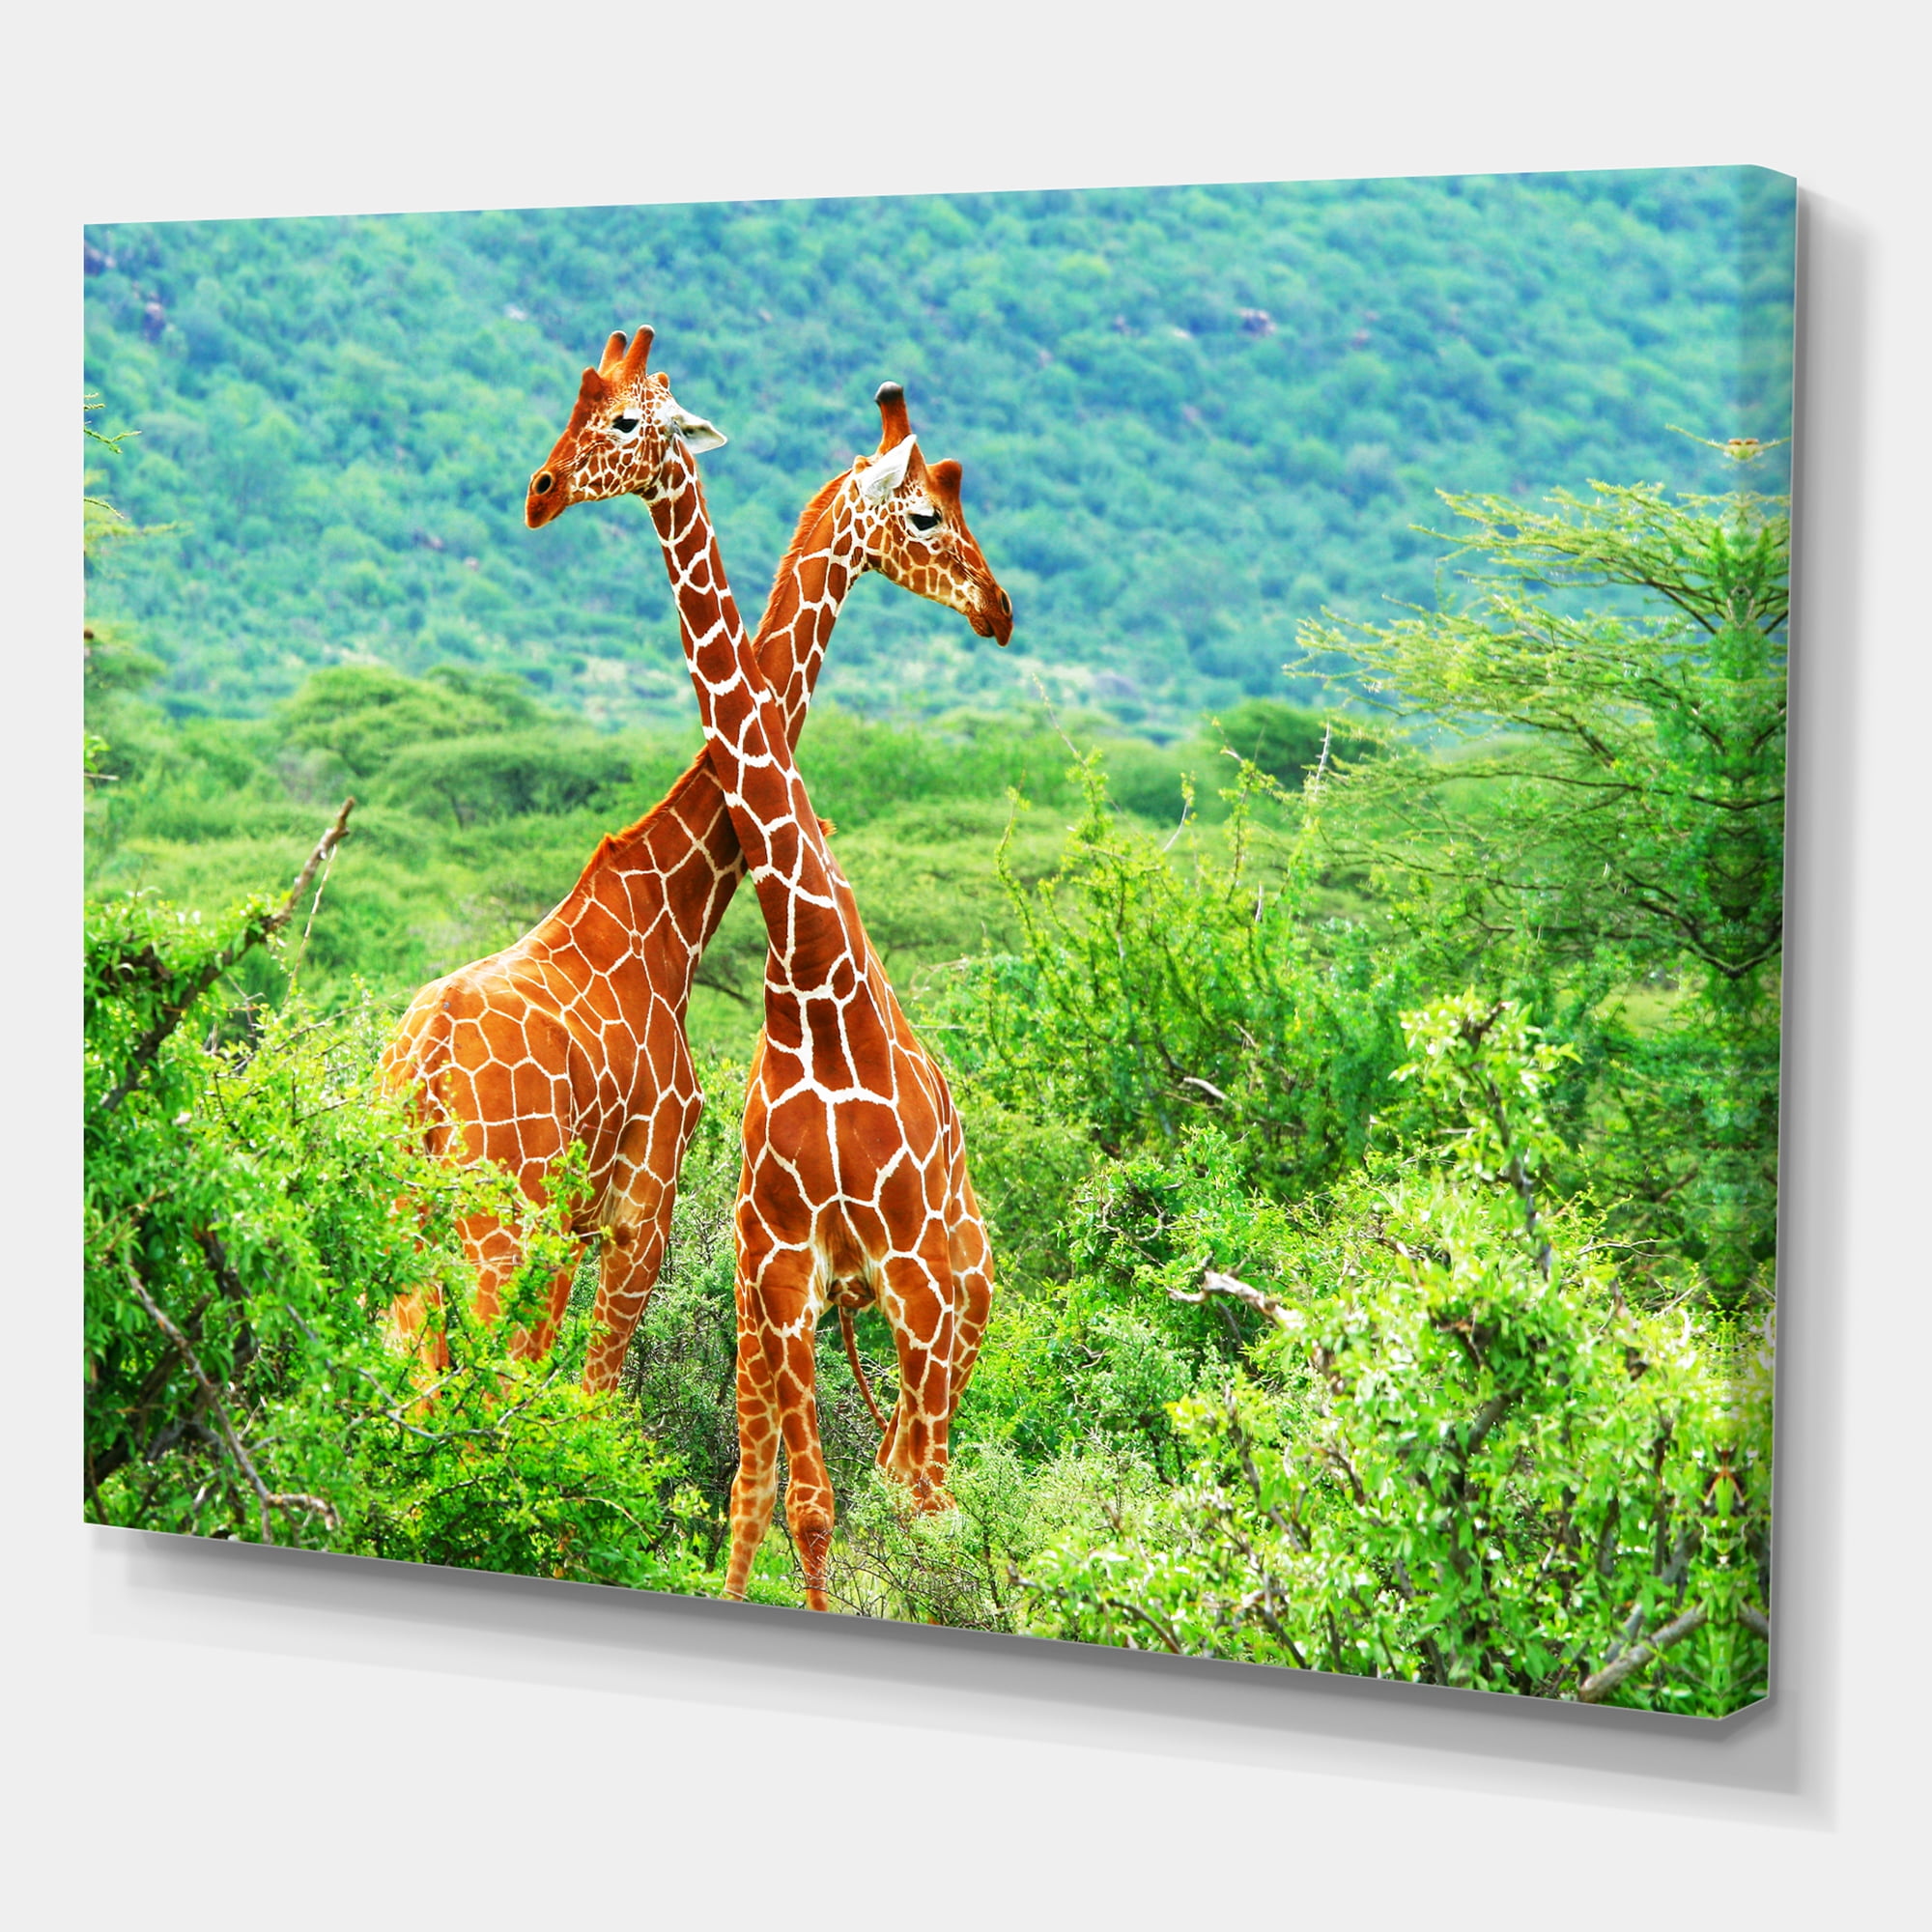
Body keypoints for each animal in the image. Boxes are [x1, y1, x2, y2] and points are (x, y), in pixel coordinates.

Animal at [383, 329, 1012, 1407]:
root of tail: (420, 1067)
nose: (997, 607)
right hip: (497, 1219)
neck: (673, 905)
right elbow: (589, 1399)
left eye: (616, 415)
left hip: (404, 1210)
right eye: (928, 512)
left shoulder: (595, 1217)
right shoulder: (644, 1201)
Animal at [529, 328, 1007, 1610]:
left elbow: (879, 1498)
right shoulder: (779, 1264)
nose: (998, 609)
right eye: (928, 512)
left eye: (626, 419)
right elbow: (788, 1501)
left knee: (931, 1486)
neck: (811, 982)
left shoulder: (907, 1278)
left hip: (958, 1302)